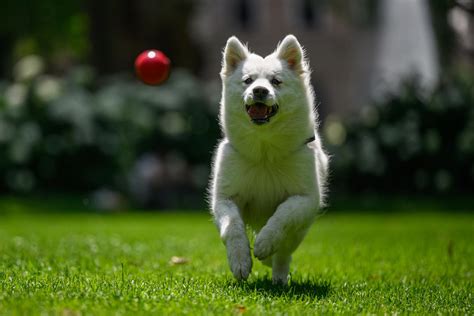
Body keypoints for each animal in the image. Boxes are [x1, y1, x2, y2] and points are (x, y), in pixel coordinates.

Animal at [209, 34, 328, 284]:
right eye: (248, 81)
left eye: (276, 81)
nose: (260, 91)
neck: (264, 154)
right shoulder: (224, 198)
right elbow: (232, 226)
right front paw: (240, 261)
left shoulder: (306, 199)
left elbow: (283, 214)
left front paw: (265, 243)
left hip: (300, 230)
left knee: (285, 252)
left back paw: (279, 277)